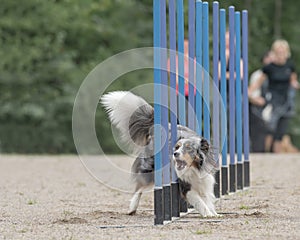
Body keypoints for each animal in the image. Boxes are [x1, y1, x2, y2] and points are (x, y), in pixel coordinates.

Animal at [101, 90, 218, 218]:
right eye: (177, 147)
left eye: (188, 148)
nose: (175, 153)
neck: (194, 168)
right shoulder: (185, 186)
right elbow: (199, 201)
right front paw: (208, 214)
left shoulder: (205, 179)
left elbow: (207, 199)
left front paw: (214, 212)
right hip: (151, 168)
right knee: (139, 186)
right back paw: (132, 207)